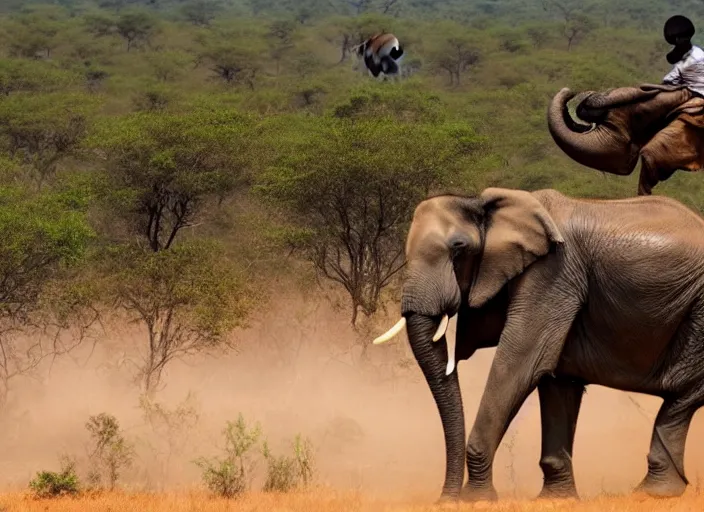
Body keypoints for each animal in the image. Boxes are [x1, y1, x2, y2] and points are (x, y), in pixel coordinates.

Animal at [374, 186, 704, 502]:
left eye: (458, 247)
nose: (443, 498)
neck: (481, 204)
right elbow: (557, 382)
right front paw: (557, 497)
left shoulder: (553, 274)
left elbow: (522, 363)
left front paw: (475, 499)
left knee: (683, 392)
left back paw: (654, 492)